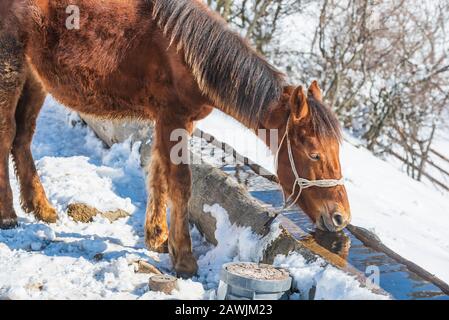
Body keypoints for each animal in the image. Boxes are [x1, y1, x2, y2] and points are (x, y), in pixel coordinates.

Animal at [0, 0, 350, 276]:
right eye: (314, 153)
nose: (340, 216)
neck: (187, 55)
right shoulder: (173, 119)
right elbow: (180, 184)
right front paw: (184, 259)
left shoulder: (169, 123)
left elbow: (158, 174)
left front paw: (158, 238)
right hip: (10, 68)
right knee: (7, 136)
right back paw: (8, 215)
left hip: (35, 77)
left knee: (23, 138)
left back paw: (41, 208)